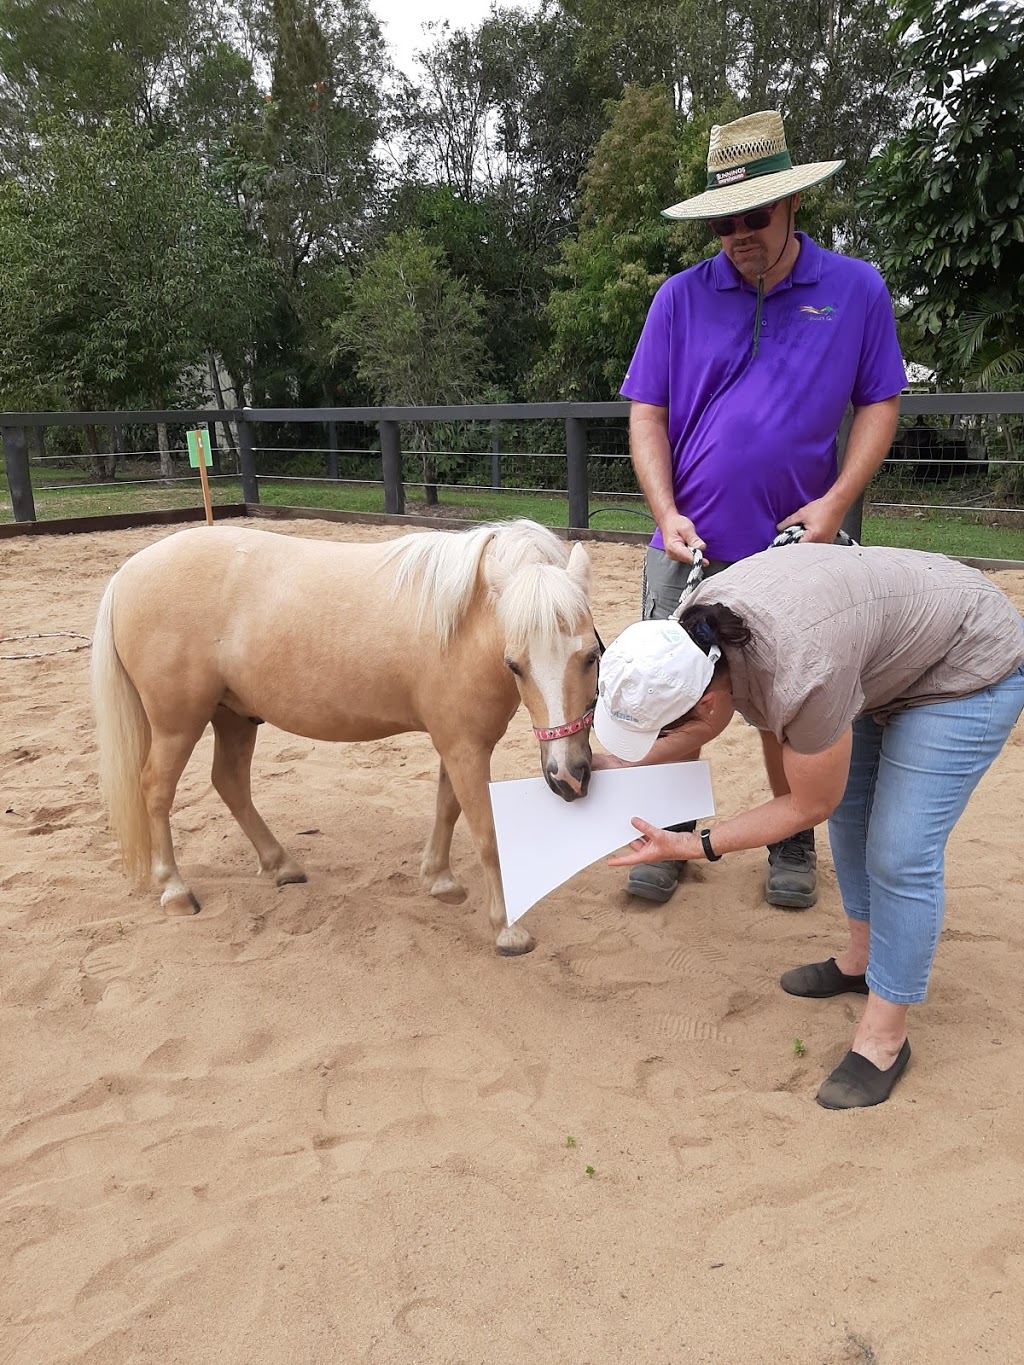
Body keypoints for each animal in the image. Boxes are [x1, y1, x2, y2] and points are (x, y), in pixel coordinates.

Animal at [93, 515, 600, 955]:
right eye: (515, 664)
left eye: (591, 654)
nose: (568, 776)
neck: (462, 625)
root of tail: (128, 573)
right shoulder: (465, 747)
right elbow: (487, 835)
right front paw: (508, 930)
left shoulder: (456, 742)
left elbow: (447, 808)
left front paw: (440, 881)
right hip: (177, 725)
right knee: (156, 790)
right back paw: (175, 890)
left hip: (234, 716)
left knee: (229, 783)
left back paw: (282, 866)